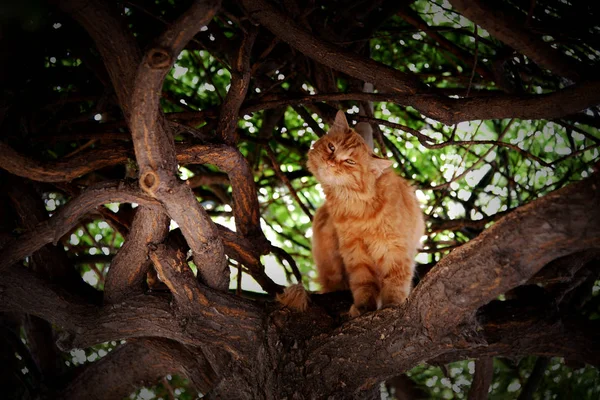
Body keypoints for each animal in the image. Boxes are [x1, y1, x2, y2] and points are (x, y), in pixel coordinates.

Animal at [308, 109, 424, 316]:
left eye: (350, 161)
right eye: (331, 147)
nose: (331, 162)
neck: (358, 210)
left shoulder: (394, 248)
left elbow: (395, 281)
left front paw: (391, 305)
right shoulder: (355, 251)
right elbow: (363, 283)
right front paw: (363, 308)